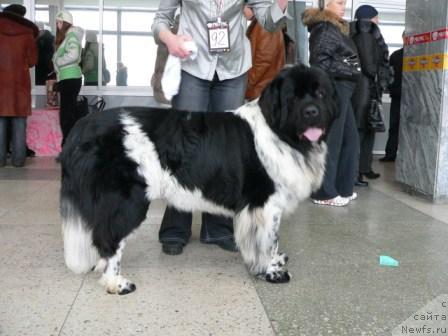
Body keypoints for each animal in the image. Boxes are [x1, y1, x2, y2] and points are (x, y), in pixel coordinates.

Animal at [61, 65, 338, 294]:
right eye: (293, 97)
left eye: (320, 94)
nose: (312, 112)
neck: (280, 132)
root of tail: (82, 126)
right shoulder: (265, 204)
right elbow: (269, 240)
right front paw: (272, 271)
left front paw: (274, 262)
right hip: (127, 201)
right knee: (110, 237)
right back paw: (116, 283)